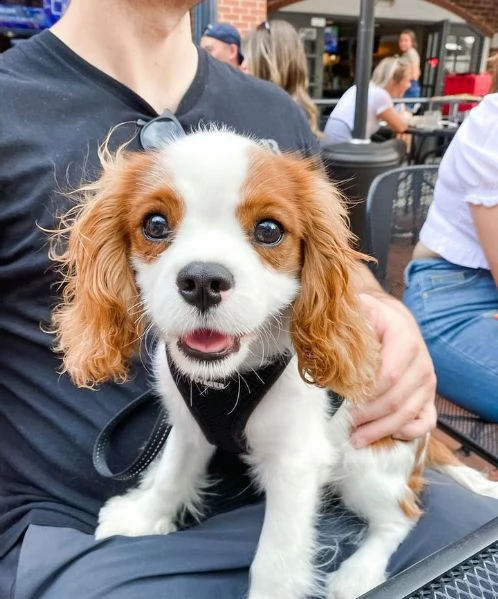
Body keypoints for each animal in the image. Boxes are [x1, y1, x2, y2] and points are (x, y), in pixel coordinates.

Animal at [50, 131, 498, 599]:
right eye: (155, 224)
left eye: (269, 230)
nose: (203, 280)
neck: (225, 383)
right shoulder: (189, 426)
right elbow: (173, 472)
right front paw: (143, 514)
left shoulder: (296, 463)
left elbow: (276, 559)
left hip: (366, 463)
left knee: (402, 517)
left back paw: (358, 574)